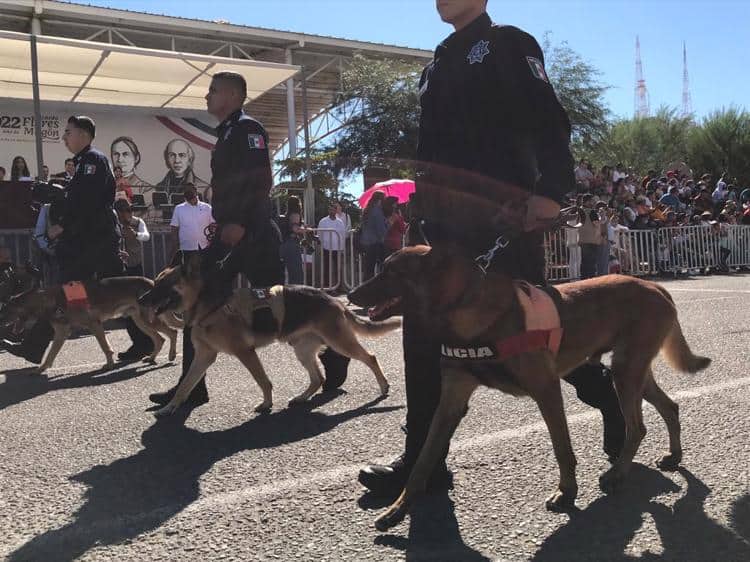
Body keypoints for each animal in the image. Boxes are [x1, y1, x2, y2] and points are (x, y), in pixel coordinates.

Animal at [0, 274, 182, 372]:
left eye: (6, 310)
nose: (0, 321)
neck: (47, 299)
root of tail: (152, 283)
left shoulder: (94, 325)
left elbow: (106, 348)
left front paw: (109, 365)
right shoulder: (61, 333)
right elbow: (51, 354)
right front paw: (42, 368)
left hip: (147, 321)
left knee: (172, 332)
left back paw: (171, 355)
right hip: (140, 321)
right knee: (161, 338)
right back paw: (152, 357)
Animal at [139, 252, 402, 414]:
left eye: (163, 285)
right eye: (155, 282)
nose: (141, 300)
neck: (209, 307)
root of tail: (333, 299)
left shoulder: (245, 352)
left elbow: (263, 380)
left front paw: (266, 404)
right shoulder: (204, 356)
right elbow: (184, 385)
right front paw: (169, 407)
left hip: (338, 341)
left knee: (370, 358)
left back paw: (383, 386)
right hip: (303, 350)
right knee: (318, 378)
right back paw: (302, 397)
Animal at [350, 245, 712, 528]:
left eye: (391, 271)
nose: (351, 295)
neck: (465, 308)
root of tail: (656, 287)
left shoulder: (546, 389)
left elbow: (562, 448)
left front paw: (566, 492)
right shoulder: (450, 401)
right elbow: (423, 458)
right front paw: (399, 508)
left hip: (626, 374)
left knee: (638, 426)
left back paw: (618, 474)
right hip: (633, 374)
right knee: (668, 407)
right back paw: (673, 456)